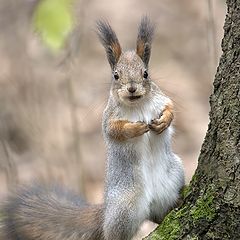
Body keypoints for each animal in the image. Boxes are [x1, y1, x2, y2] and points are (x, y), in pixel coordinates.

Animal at [1, 17, 184, 240]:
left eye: (146, 73)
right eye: (116, 75)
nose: (132, 88)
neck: (137, 105)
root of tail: (106, 211)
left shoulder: (161, 99)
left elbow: (170, 109)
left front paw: (163, 122)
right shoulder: (108, 118)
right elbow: (114, 130)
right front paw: (135, 128)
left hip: (174, 175)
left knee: (159, 213)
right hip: (124, 208)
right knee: (113, 233)